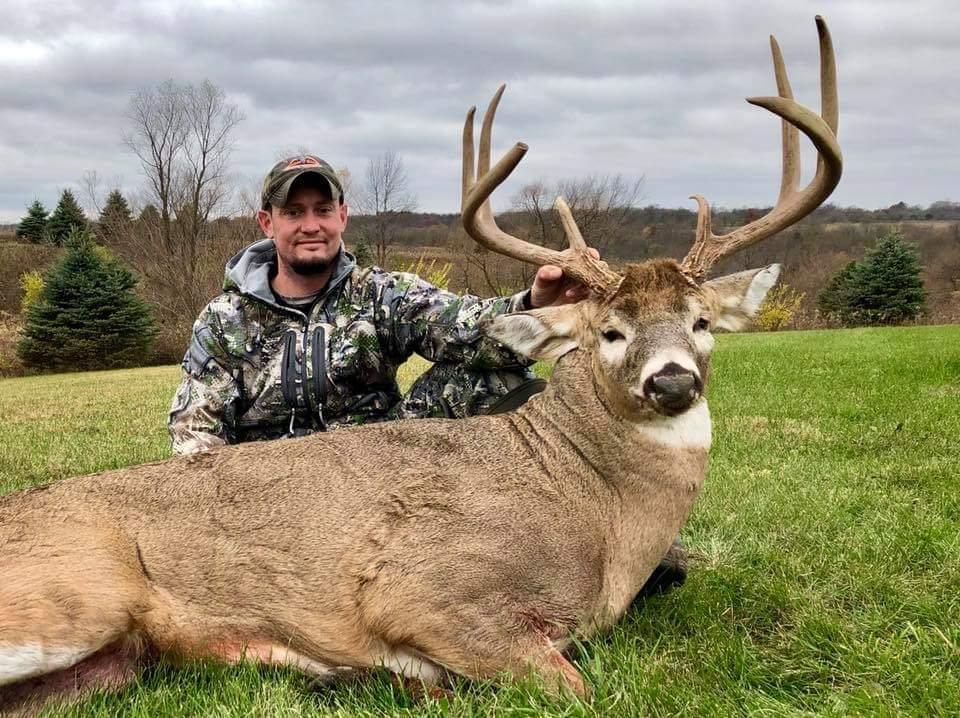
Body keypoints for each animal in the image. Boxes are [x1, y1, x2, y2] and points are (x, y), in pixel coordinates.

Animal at [0, 17, 841, 714]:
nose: (672, 380)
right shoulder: (422, 590)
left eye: (701, 323)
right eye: (608, 331)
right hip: (75, 594)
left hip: (109, 662)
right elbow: (578, 689)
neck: (598, 514)